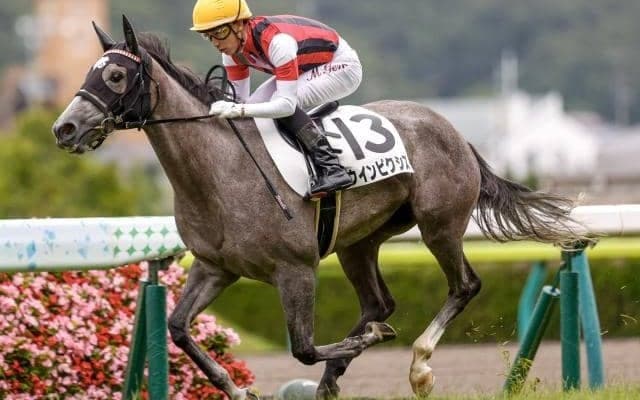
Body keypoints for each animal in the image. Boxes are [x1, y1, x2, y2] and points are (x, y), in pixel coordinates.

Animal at [52, 16, 588, 400]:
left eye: (116, 74)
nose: (65, 129)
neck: (220, 172)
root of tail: (455, 131)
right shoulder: (215, 267)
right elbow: (179, 328)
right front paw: (235, 388)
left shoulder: (296, 269)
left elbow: (304, 348)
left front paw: (368, 343)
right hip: (359, 242)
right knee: (379, 302)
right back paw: (335, 378)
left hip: (440, 226)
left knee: (464, 286)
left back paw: (417, 366)